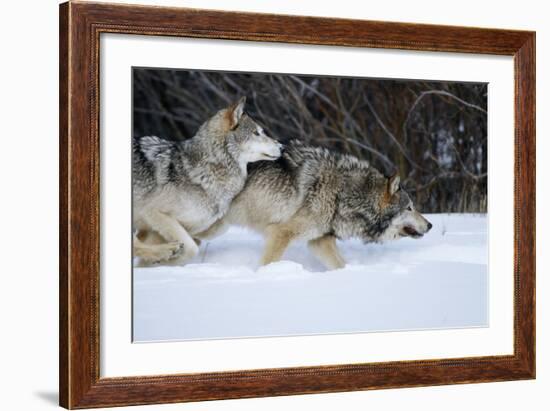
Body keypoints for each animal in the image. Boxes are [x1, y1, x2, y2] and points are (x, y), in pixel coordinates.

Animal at [132, 97, 282, 266]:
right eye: (256, 133)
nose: (282, 147)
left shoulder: (156, 229)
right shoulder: (153, 213)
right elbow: (191, 249)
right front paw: (167, 263)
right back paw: (167, 251)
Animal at [201, 140, 434, 272]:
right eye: (409, 208)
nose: (430, 225)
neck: (343, 194)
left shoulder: (320, 241)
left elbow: (340, 265)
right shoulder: (280, 233)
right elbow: (267, 263)